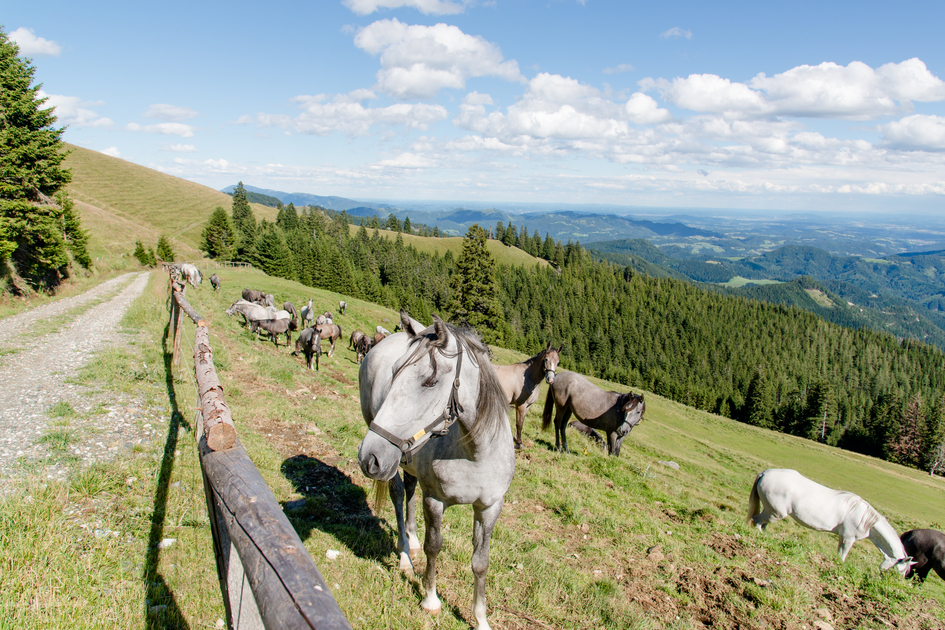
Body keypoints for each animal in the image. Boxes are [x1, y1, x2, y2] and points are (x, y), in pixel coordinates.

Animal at [357, 312, 514, 630]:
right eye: (394, 372)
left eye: (430, 381)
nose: (369, 456)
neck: (474, 452)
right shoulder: (435, 500)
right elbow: (434, 547)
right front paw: (430, 599)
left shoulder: (490, 507)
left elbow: (481, 562)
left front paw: (480, 618)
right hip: (394, 465)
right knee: (397, 495)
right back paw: (406, 555)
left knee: (409, 489)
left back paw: (412, 540)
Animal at [747, 469, 914, 576]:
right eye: (901, 570)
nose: (888, 581)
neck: (865, 519)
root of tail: (765, 473)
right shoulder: (848, 538)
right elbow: (843, 555)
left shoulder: (843, 537)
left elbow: (839, 553)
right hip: (775, 513)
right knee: (757, 521)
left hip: (771, 511)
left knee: (762, 523)